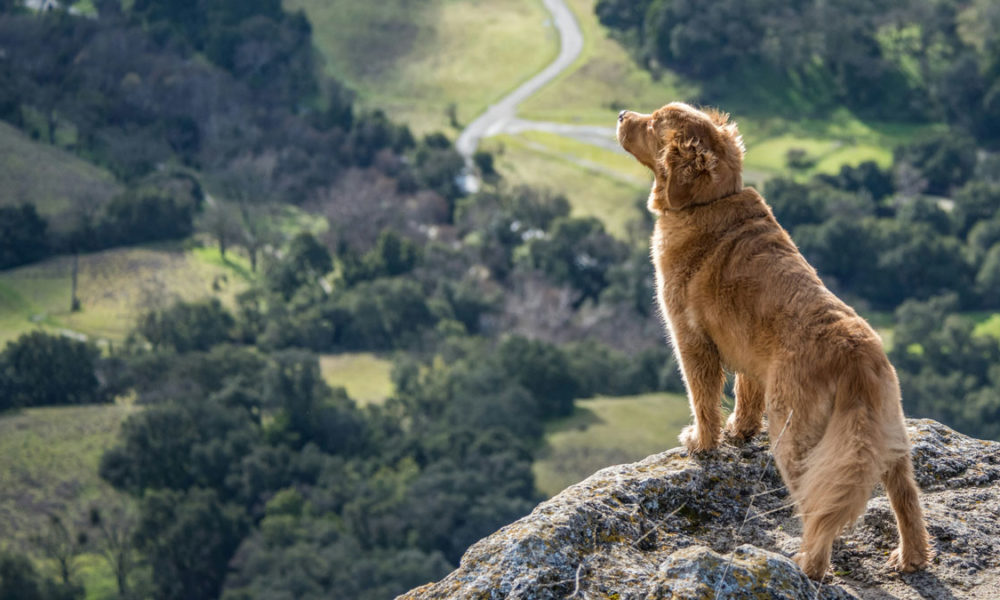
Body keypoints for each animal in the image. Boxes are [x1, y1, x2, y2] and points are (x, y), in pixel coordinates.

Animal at [612, 101, 932, 580]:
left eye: (652, 123)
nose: (620, 115)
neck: (710, 200)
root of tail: (856, 354)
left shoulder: (691, 339)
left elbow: (702, 398)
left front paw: (702, 442)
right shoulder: (748, 351)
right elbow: (746, 394)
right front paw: (740, 431)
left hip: (795, 435)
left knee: (820, 508)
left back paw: (808, 565)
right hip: (889, 435)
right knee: (906, 499)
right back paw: (910, 557)